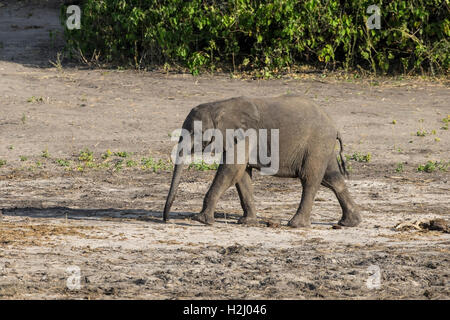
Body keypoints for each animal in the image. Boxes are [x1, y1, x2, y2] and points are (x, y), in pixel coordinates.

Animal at [163, 95, 360, 228]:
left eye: (194, 133)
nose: (166, 220)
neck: (219, 106)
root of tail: (334, 126)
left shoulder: (245, 135)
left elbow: (231, 170)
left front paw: (201, 220)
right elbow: (241, 175)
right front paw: (247, 222)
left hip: (317, 144)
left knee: (309, 179)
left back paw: (295, 224)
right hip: (323, 147)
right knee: (332, 179)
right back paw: (350, 222)